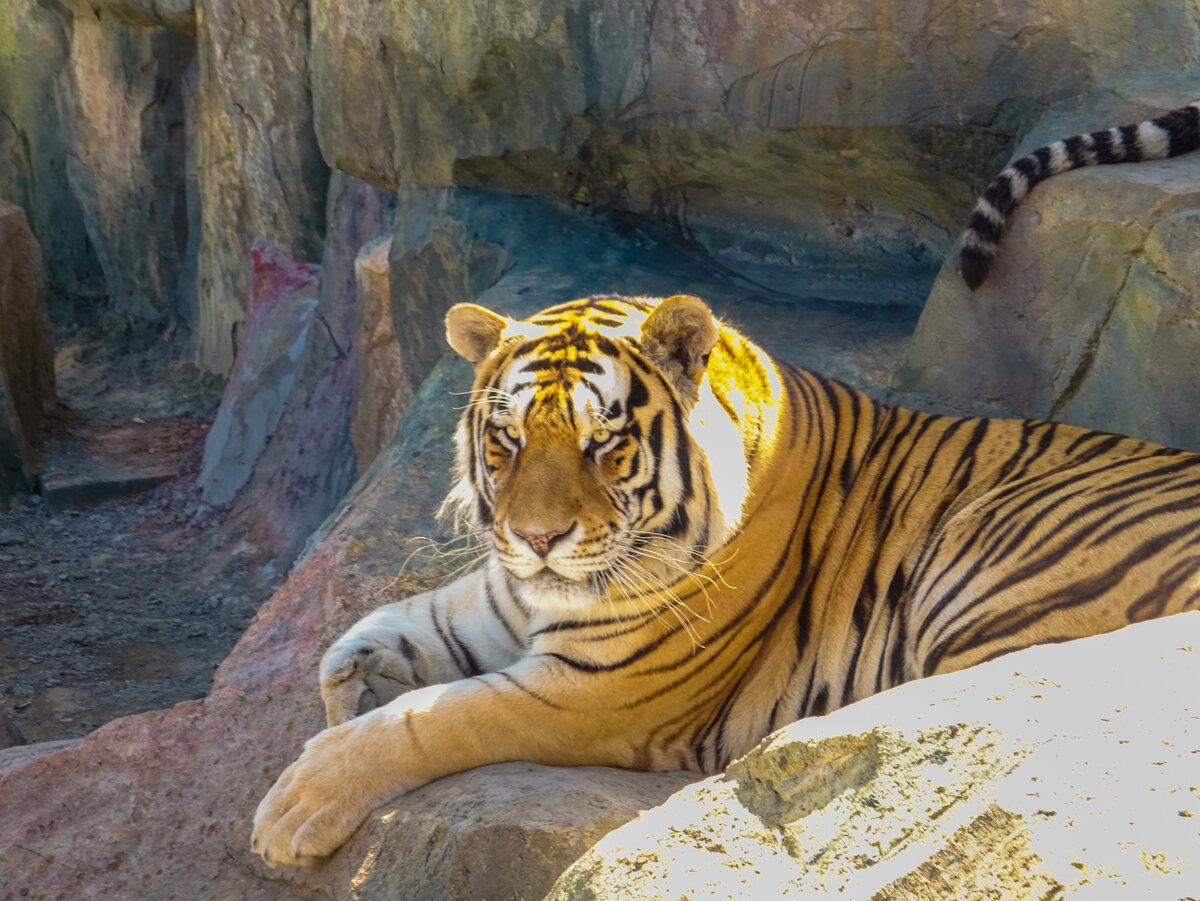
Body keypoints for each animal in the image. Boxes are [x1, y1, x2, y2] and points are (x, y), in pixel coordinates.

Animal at [253, 292, 1200, 867]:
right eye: (508, 440)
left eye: (603, 441)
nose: (537, 536)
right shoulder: (497, 603)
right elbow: (366, 642)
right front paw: (351, 690)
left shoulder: (597, 690)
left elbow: (433, 718)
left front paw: (296, 805)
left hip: (988, 550)